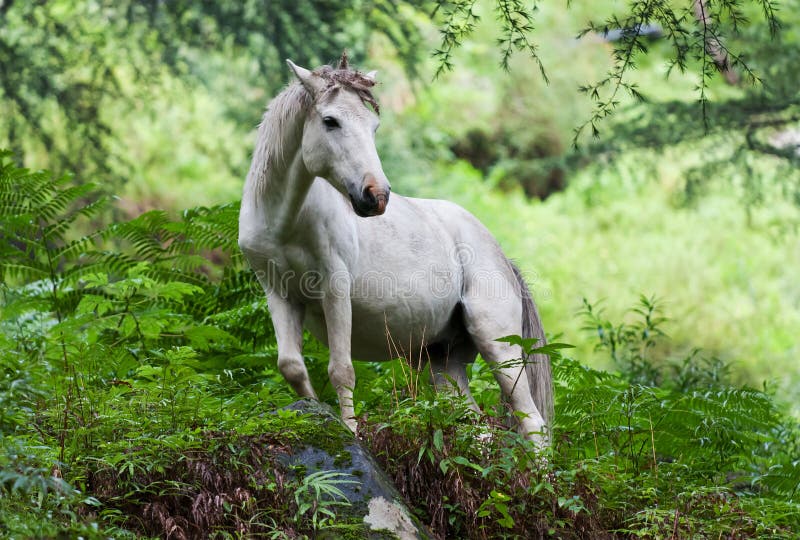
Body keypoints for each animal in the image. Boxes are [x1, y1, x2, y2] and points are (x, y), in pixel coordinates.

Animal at [234, 53, 552, 442]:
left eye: (373, 126)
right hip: (442, 360)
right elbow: (292, 366)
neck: (284, 223)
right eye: (330, 121)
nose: (377, 195)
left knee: (532, 423)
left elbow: (341, 369)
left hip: (498, 344)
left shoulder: (334, 288)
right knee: (477, 427)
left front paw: (349, 432)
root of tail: (503, 258)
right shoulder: (278, 293)